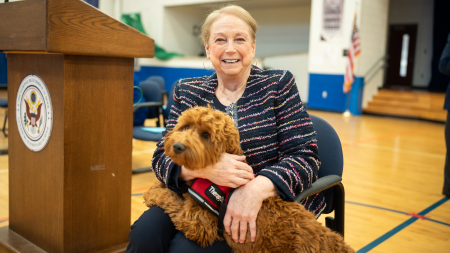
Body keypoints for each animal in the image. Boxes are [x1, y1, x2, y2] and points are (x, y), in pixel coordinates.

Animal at [144, 105, 356, 252]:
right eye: (185, 126)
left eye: (205, 134)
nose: (177, 146)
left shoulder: (198, 224)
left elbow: (171, 200)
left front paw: (152, 192)